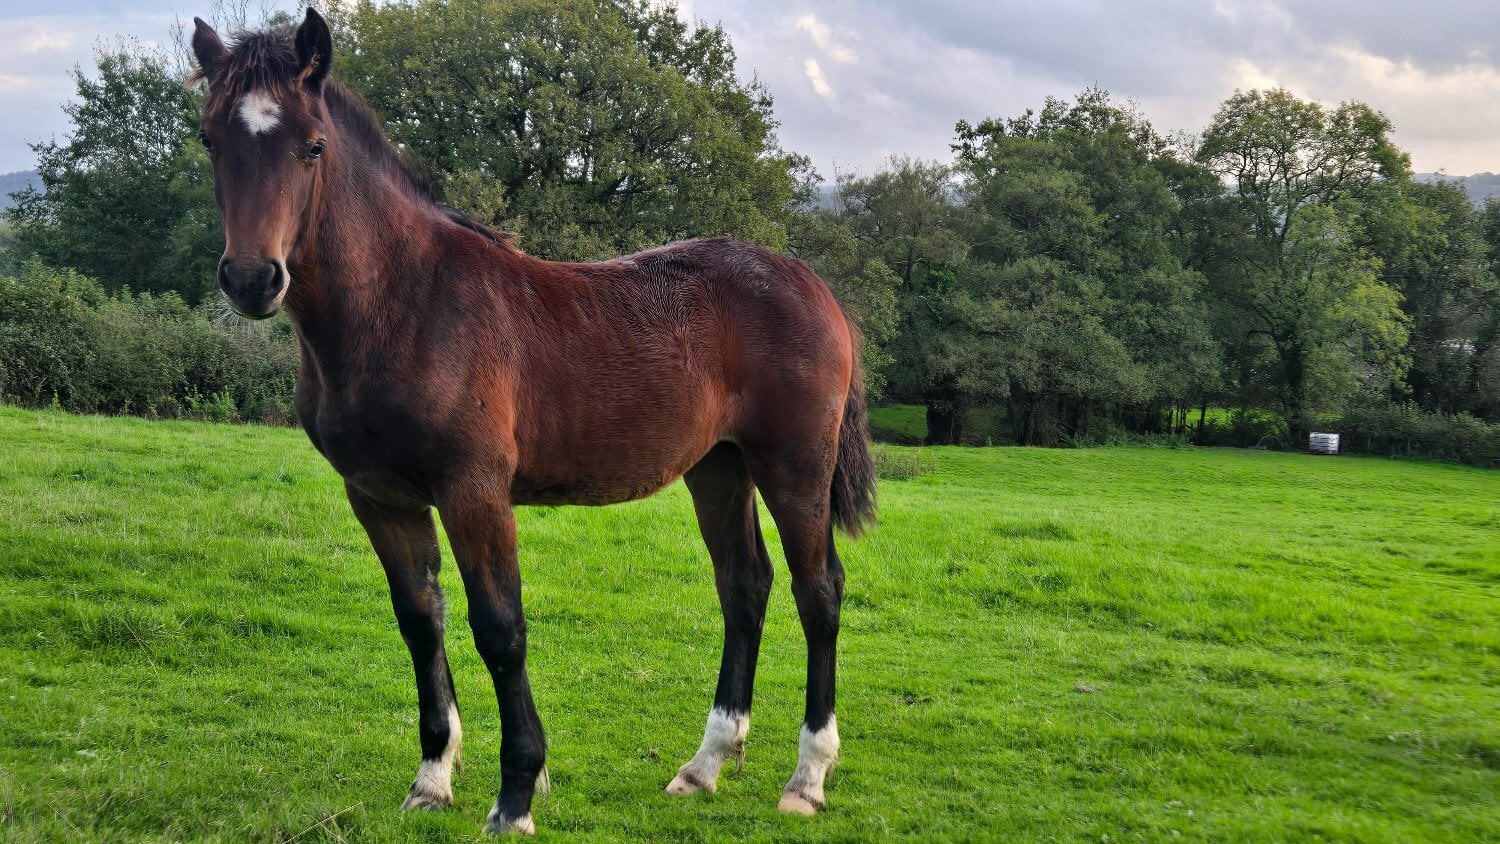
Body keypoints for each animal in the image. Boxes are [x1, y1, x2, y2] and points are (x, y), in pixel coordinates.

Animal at [189, 8, 875, 836]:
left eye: (312, 144)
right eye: (210, 138)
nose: (252, 279)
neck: (406, 305)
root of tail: (812, 284)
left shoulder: (474, 491)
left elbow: (500, 630)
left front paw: (516, 793)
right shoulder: (379, 497)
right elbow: (420, 621)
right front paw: (433, 777)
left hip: (794, 465)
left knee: (819, 591)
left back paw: (807, 777)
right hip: (720, 467)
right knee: (744, 586)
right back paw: (705, 765)